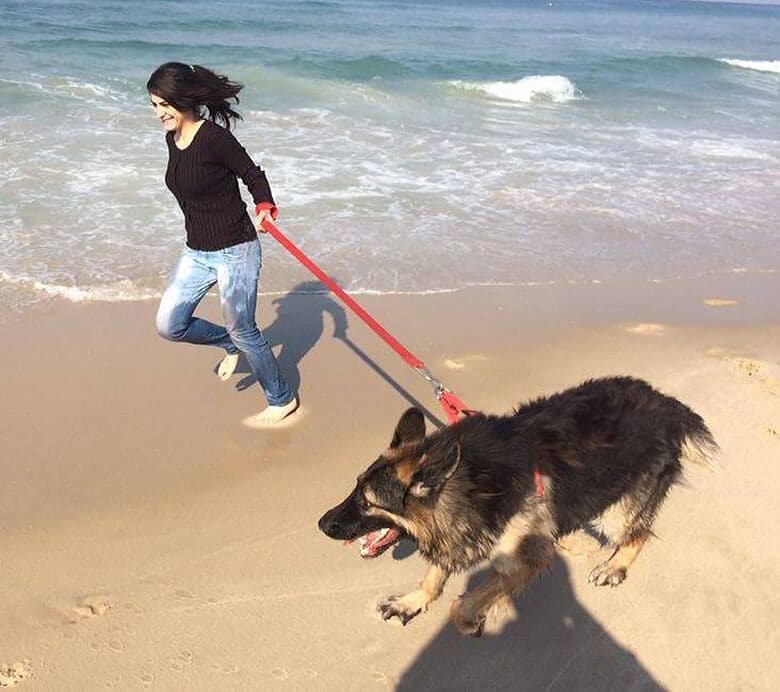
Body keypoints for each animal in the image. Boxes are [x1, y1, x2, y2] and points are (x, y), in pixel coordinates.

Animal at [318, 378, 720, 636]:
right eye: (355, 487)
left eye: (368, 503)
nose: (321, 524)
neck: (467, 483)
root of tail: (667, 405)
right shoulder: (459, 529)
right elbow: (434, 574)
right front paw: (414, 600)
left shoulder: (524, 559)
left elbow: (466, 602)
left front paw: (468, 619)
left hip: (616, 513)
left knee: (638, 534)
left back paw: (614, 566)